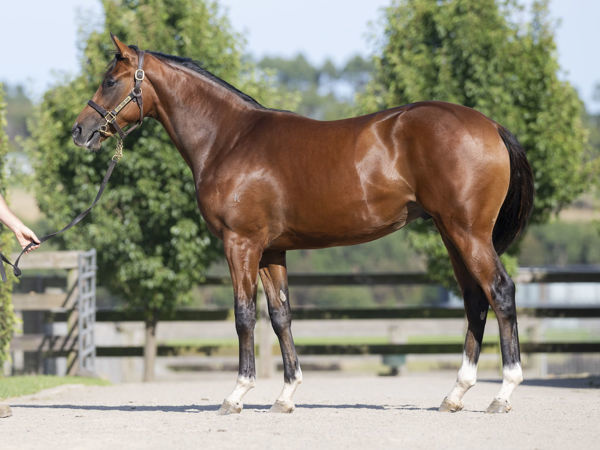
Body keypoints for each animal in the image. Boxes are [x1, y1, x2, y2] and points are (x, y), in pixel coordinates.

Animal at [71, 35, 536, 414]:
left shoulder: (240, 244)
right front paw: (286, 395)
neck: (228, 140)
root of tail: (490, 125)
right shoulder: (271, 250)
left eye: (110, 81)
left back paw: (503, 393)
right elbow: (281, 316)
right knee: (475, 300)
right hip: (451, 234)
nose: (80, 131)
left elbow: (244, 314)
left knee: (500, 292)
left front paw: (236, 394)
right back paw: (455, 394)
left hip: (468, 232)